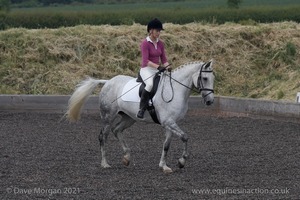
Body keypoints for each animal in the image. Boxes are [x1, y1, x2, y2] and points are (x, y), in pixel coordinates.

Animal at [66, 60, 214, 173]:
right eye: (205, 78)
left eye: (213, 79)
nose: (210, 101)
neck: (175, 90)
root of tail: (108, 81)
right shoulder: (168, 122)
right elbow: (185, 137)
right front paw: (181, 161)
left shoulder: (170, 123)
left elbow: (166, 145)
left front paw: (164, 166)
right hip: (108, 117)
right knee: (103, 136)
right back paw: (105, 163)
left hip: (129, 118)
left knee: (117, 130)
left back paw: (126, 158)